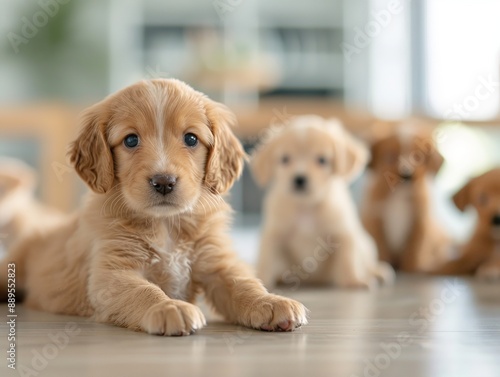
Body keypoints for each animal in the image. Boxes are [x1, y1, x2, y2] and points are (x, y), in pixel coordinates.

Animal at [0, 78, 306, 334]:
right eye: (131, 140)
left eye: (191, 138)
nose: (164, 182)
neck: (166, 224)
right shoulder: (112, 274)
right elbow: (144, 291)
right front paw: (169, 307)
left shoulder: (216, 261)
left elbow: (243, 282)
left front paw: (271, 302)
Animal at [250, 114, 394, 288]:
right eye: (285, 159)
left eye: (322, 160)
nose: (299, 179)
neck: (306, 206)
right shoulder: (273, 234)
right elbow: (265, 259)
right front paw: (260, 278)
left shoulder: (343, 234)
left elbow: (348, 259)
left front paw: (353, 280)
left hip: (367, 245)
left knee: (368, 265)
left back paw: (378, 272)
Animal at [362, 122, 452, 272]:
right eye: (390, 157)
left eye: (418, 157)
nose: (407, 174)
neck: (399, 197)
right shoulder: (375, 219)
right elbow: (381, 248)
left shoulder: (420, 224)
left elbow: (413, 251)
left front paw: (411, 267)